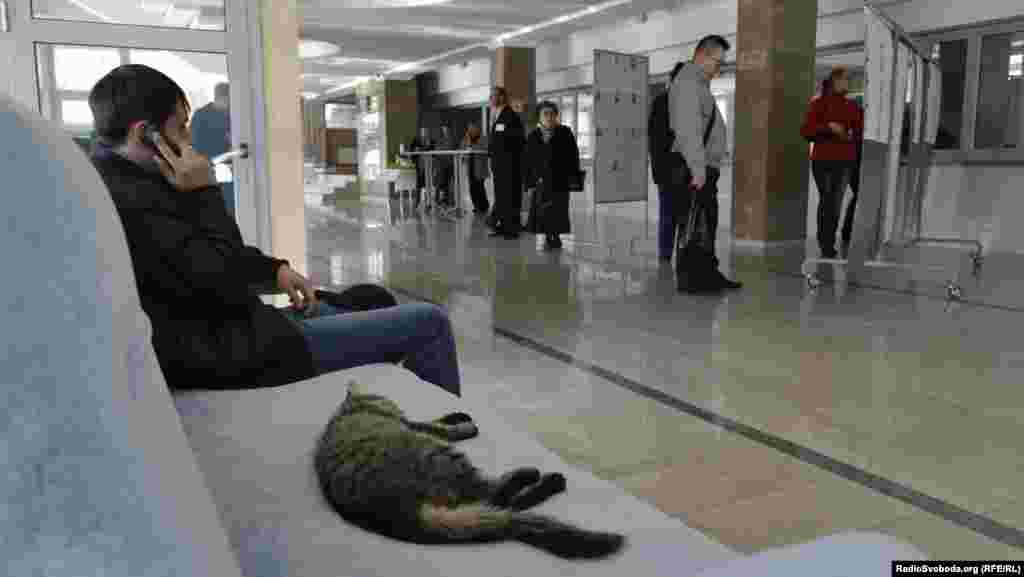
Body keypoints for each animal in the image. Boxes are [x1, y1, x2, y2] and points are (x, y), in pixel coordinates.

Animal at [315, 381, 626, 561]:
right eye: (380, 396)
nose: (390, 402)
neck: (353, 408)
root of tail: (398, 513)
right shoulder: (420, 428)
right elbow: (442, 427)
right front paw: (466, 426)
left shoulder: (415, 421)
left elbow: (439, 419)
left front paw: (459, 415)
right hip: (443, 457)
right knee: (498, 496)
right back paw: (542, 478)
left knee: (502, 503)